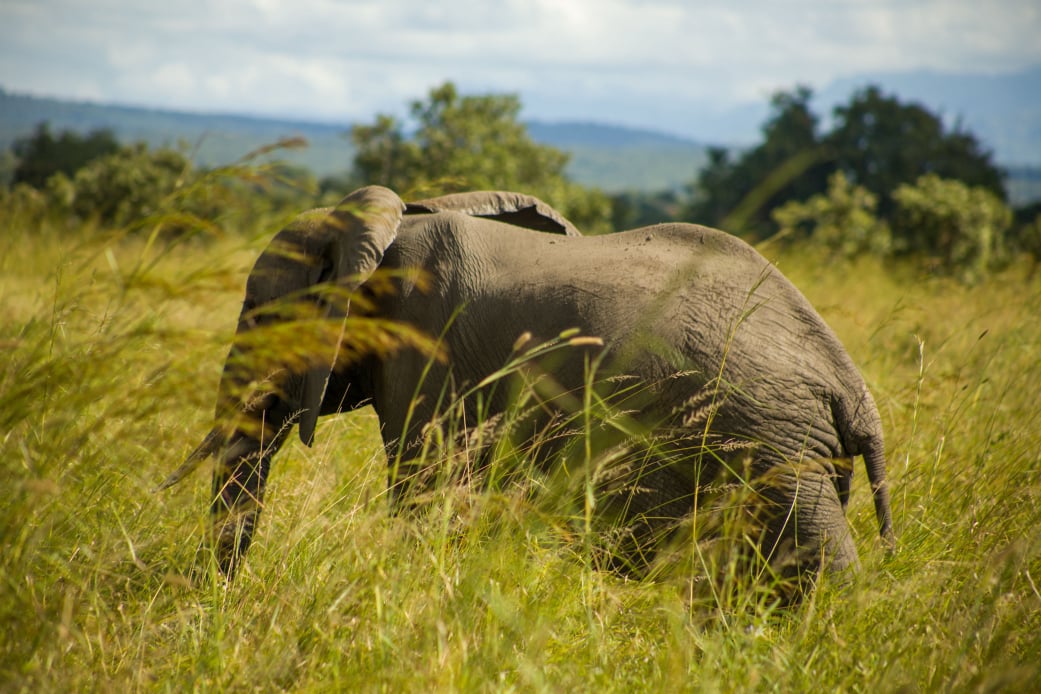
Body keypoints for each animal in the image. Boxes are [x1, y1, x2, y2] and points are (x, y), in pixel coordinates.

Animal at [165, 185, 894, 588]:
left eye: (258, 314)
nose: (222, 601)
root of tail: (850, 386)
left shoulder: (427, 344)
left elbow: (425, 492)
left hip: (770, 448)